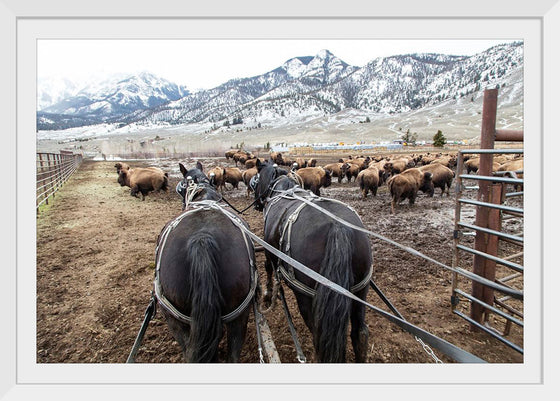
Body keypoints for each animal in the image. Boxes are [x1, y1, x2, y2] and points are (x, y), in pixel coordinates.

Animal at [254, 160, 372, 362]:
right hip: (360, 291)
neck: (281, 189)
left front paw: (268, 294)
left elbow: (268, 267)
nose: (256, 204)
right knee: (360, 334)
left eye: (256, 179)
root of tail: (338, 226)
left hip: (307, 298)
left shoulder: (269, 250)